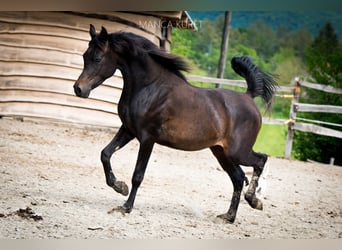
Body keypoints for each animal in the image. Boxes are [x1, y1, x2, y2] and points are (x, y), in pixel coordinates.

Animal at [74, 24, 278, 224]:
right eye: (84, 56)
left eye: (98, 58)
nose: (78, 89)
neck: (150, 87)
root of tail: (249, 96)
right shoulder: (128, 130)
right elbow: (105, 154)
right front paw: (120, 187)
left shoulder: (147, 138)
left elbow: (138, 175)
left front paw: (126, 206)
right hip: (220, 151)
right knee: (238, 178)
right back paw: (229, 216)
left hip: (237, 152)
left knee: (261, 160)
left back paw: (254, 200)